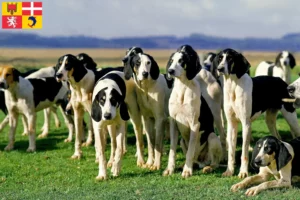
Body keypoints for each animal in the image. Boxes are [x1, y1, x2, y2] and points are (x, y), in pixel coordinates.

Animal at [162, 44, 223, 177]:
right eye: (171, 61)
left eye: (182, 61)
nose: (170, 71)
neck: (182, 88)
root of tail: (201, 162)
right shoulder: (174, 124)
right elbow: (172, 151)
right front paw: (170, 169)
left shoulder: (194, 125)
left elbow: (190, 150)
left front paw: (187, 171)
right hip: (181, 141)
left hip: (212, 137)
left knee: (214, 162)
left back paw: (207, 167)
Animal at [212, 48, 300, 178]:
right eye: (220, 58)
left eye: (230, 58)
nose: (220, 69)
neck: (234, 86)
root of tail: (283, 82)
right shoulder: (231, 124)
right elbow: (231, 152)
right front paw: (229, 171)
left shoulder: (246, 124)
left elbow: (244, 152)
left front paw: (243, 172)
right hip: (269, 120)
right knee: (277, 137)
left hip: (290, 116)